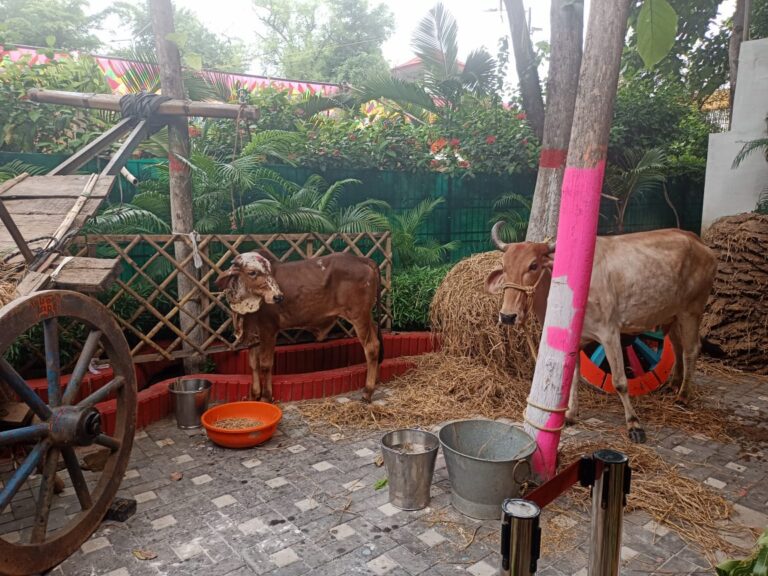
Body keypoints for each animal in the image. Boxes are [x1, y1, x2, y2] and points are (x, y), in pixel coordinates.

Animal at [215, 251, 383, 403]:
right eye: (252, 272)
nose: (278, 297)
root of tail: (361, 259)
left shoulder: (268, 330)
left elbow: (265, 364)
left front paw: (265, 397)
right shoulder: (253, 333)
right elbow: (253, 365)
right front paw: (254, 395)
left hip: (359, 316)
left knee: (372, 347)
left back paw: (367, 392)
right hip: (367, 317)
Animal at [484, 222, 717, 443]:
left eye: (533, 265)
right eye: (505, 266)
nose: (507, 316)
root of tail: (697, 240)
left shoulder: (609, 333)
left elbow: (620, 382)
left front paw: (634, 425)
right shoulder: (576, 339)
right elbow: (574, 377)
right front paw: (570, 414)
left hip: (691, 311)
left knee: (690, 350)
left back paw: (683, 397)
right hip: (673, 314)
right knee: (678, 347)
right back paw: (673, 385)